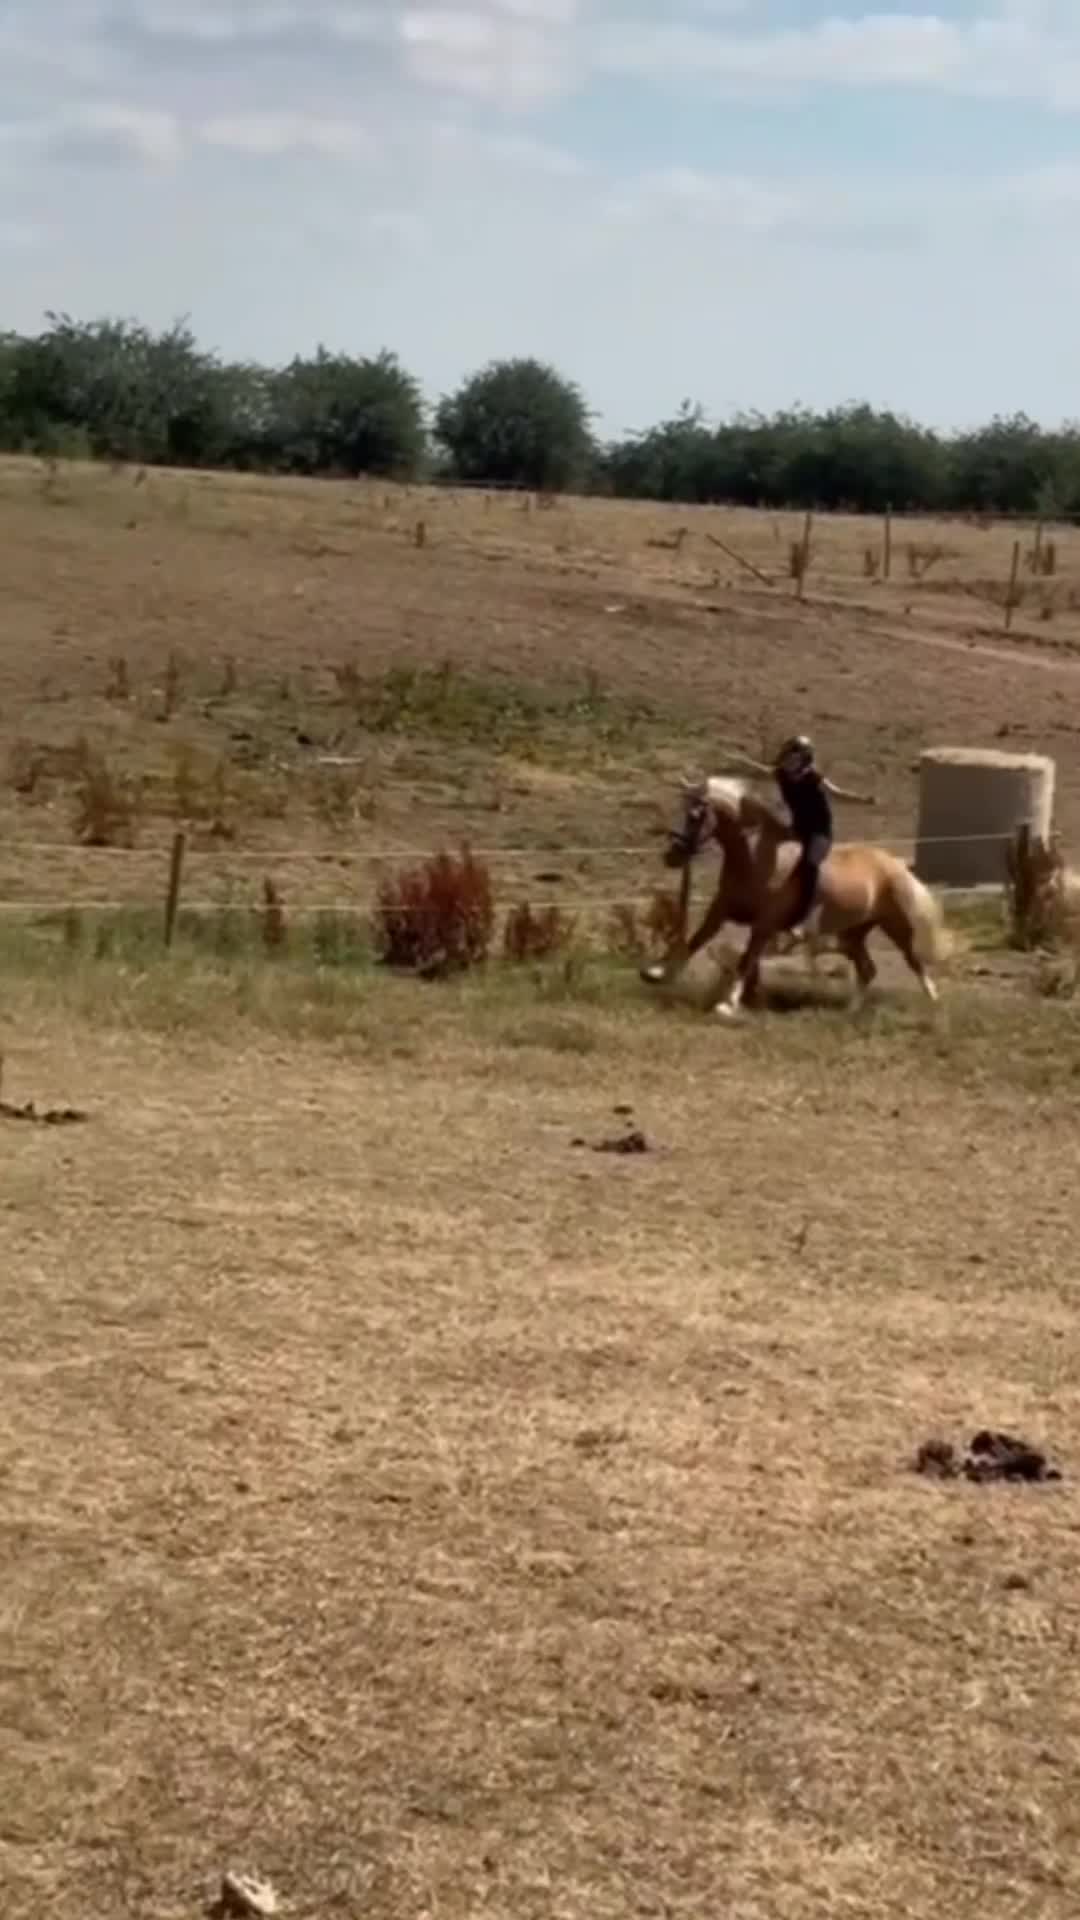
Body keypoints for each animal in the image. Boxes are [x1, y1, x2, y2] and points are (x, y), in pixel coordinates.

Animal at [641, 776, 948, 1017]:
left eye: (695, 816)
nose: (672, 856)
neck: (757, 858)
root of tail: (893, 863)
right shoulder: (720, 910)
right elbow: (695, 941)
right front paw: (658, 974)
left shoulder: (765, 924)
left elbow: (746, 960)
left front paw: (728, 1005)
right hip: (854, 933)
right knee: (868, 969)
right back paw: (850, 1011)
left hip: (893, 923)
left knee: (912, 960)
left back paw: (933, 1002)